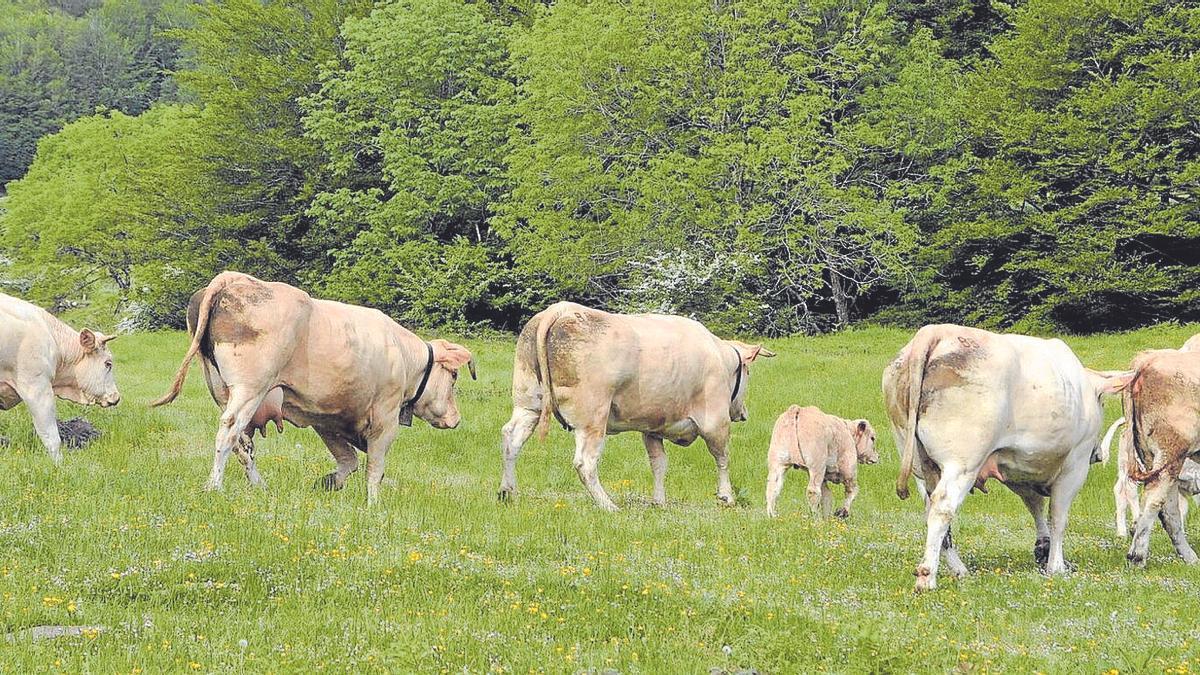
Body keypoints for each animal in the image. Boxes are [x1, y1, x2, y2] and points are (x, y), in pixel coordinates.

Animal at [154, 270, 477, 502]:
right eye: (454, 377)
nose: (456, 418)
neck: (403, 355)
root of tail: (232, 278)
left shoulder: (326, 419)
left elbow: (348, 461)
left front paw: (328, 482)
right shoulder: (385, 418)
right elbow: (375, 468)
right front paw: (374, 506)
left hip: (223, 389)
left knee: (243, 444)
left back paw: (260, 487)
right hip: (250, 388)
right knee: (227, 433)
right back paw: (214, 487)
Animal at [494, 300, 768, 509]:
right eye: (748, 372)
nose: (743, 412)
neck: (720, 358)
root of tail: (560, 309)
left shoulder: (653, 428)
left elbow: (659, 464)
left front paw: (659, 502)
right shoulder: (715, 422)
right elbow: (722, 458)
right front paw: (727, 496)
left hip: (528, 404)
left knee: (511, 439)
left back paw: (508, 492)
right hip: (593, 418)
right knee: (585, 462)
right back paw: (608, 505)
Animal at [883, 324, 1132, 588]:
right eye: (1102, 402)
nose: (1097, 453)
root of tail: (935, 331)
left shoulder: (1017, 468)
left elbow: (1035, 506)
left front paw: (1043, 549)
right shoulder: (1075, 463)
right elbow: (1058, 516)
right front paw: (1056, 566)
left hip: (921, 464)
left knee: (932, 510)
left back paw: (959, 570)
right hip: (962, 463)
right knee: (942, 508)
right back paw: (927, 577)